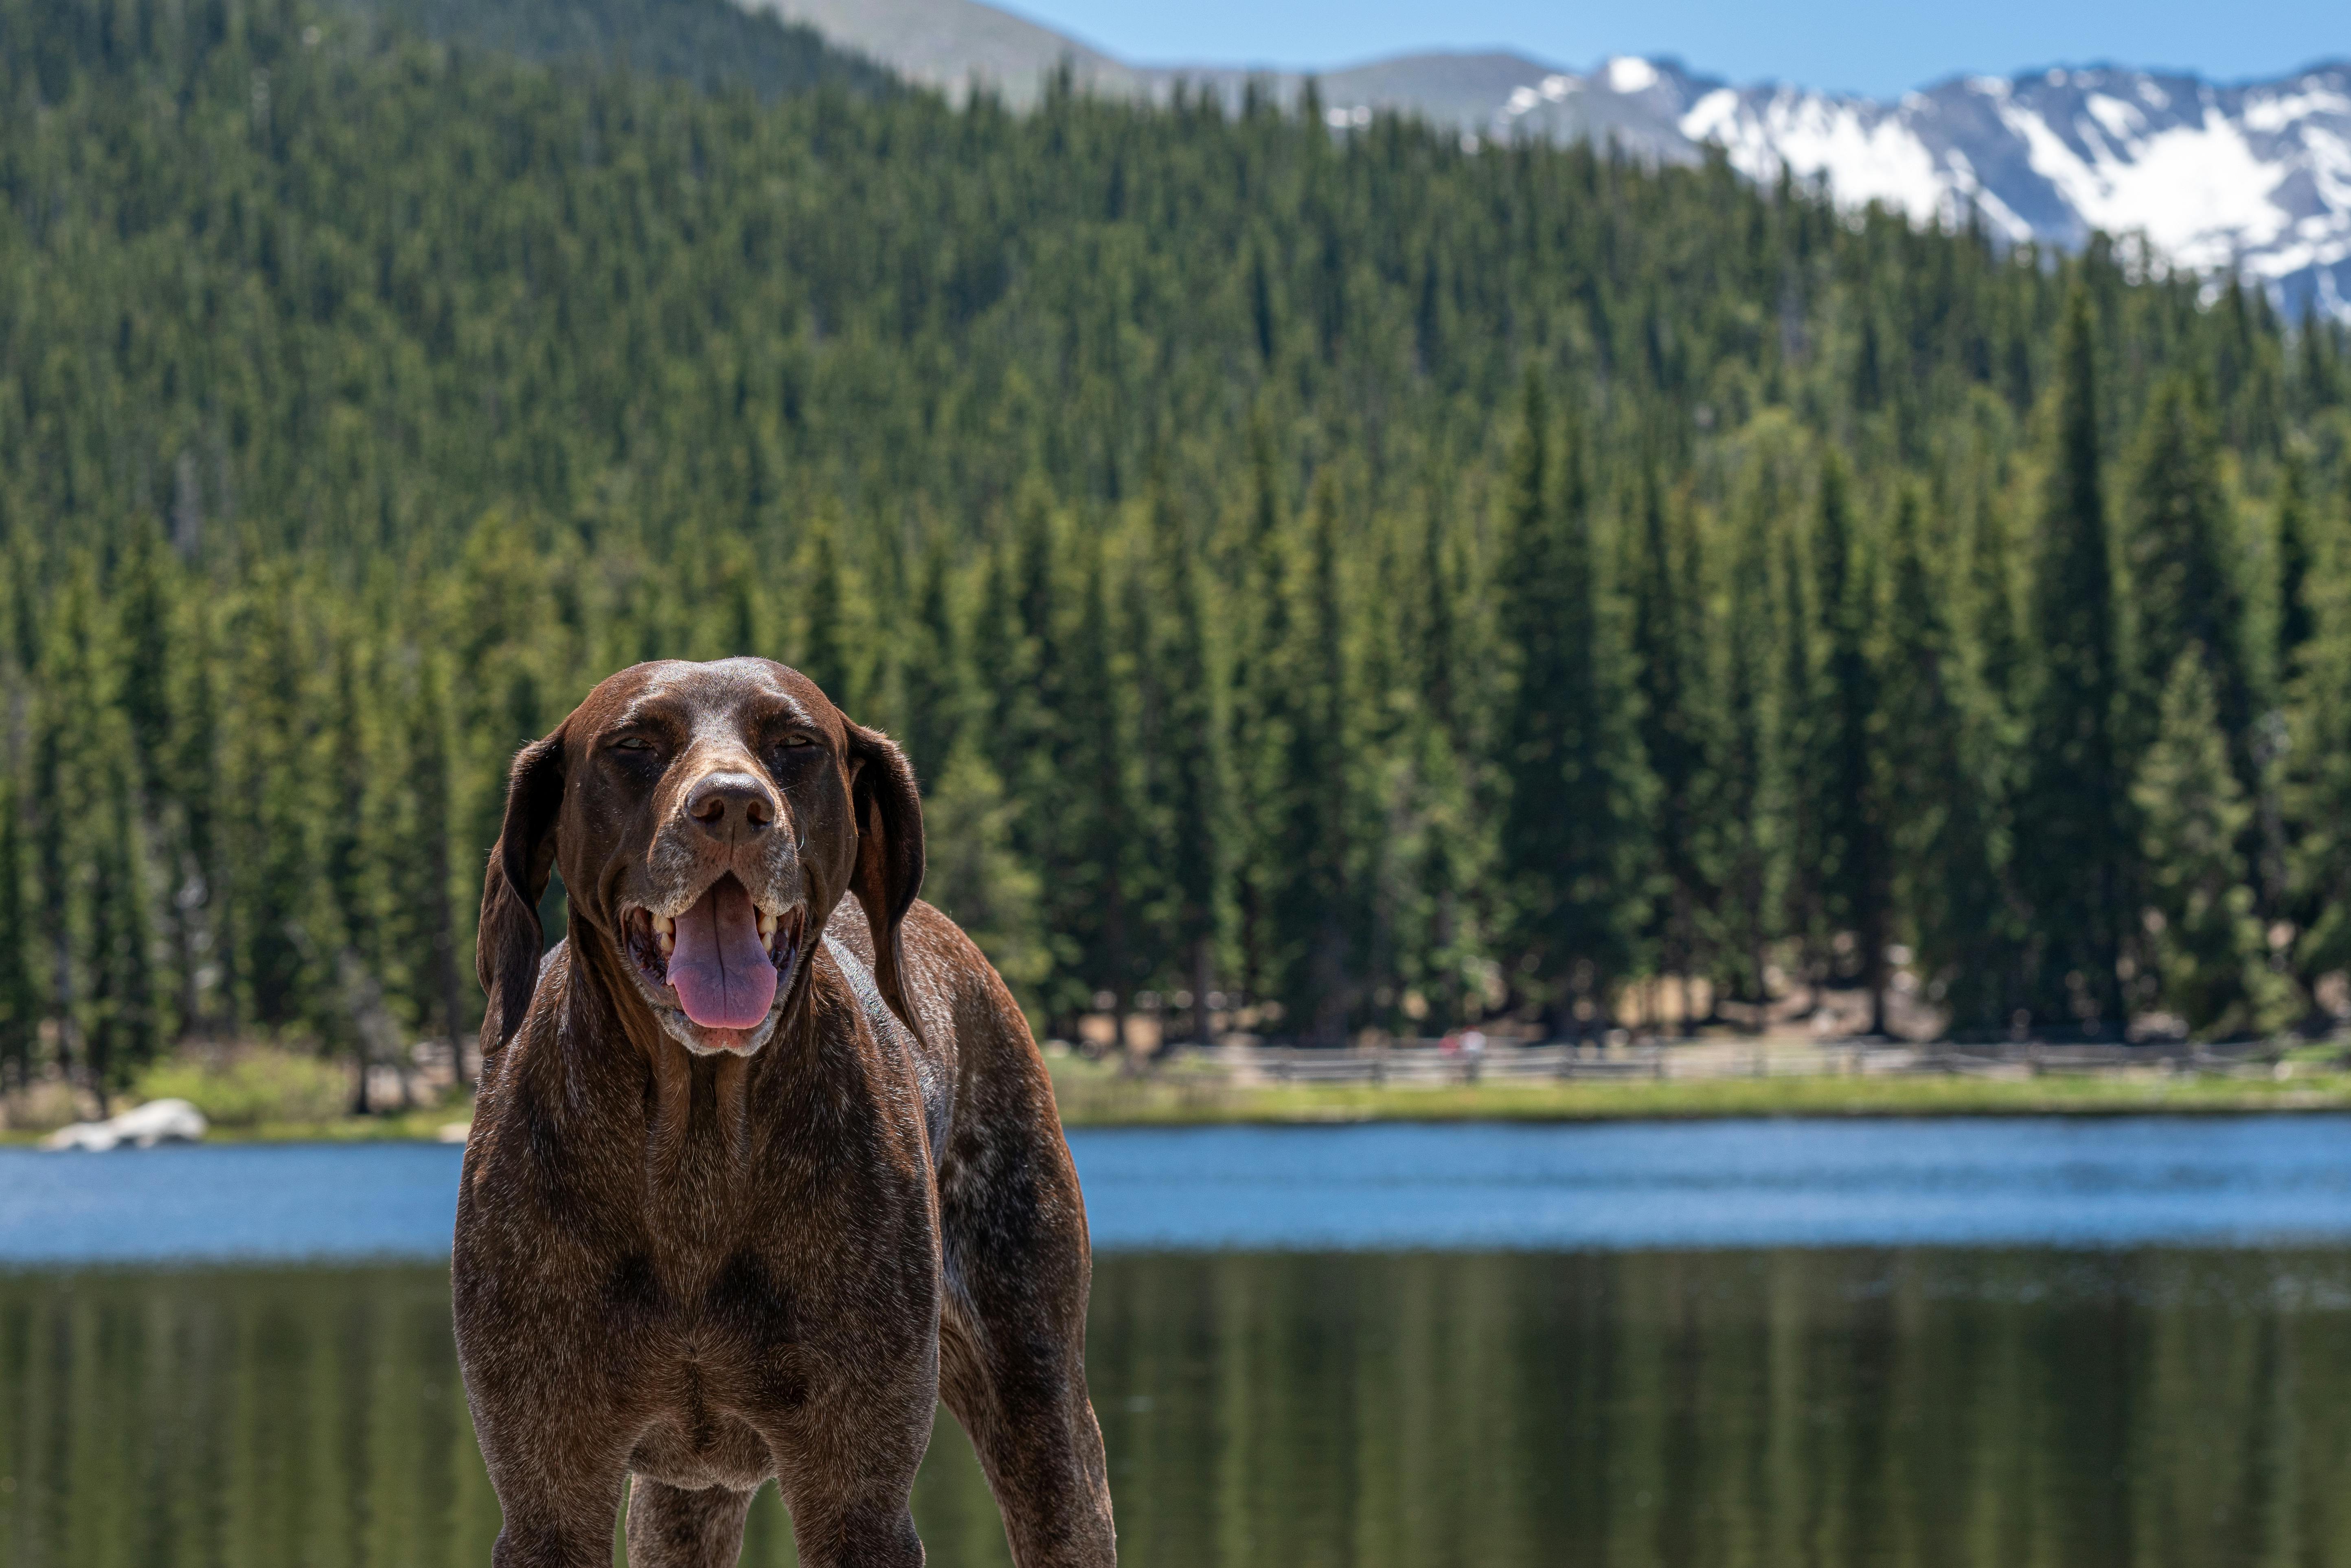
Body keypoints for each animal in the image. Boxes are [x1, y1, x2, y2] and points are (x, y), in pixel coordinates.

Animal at [461, 658, 1128, 1561]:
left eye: (796, 743)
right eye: (632, 745)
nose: (733, 806)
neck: (695, 1157)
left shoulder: (857, 1497)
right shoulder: (548, 1498)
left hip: (1043, 1416)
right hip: (681, 1504)